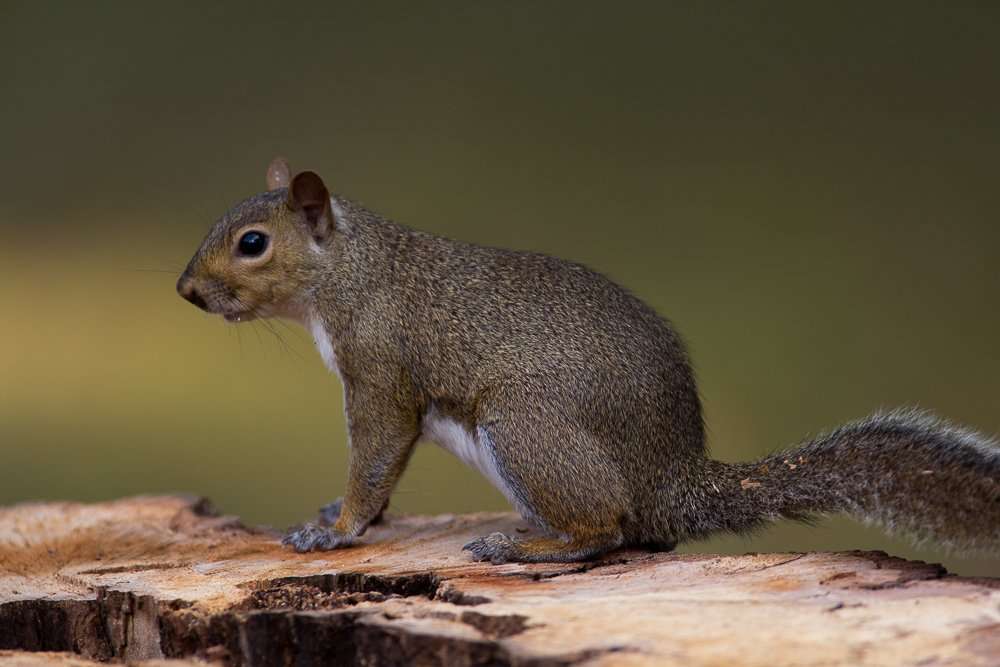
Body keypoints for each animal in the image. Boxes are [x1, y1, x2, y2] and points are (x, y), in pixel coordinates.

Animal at [177, 157, 1000, 564]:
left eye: (253, 243)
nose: (186, 291)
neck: (351, 269)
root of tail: (676, 481)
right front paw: (343, 516)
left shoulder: (380, 370)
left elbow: (376, 454)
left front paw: (338, 529)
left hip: (526, 425)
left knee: (606, 527)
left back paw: (524, 546)